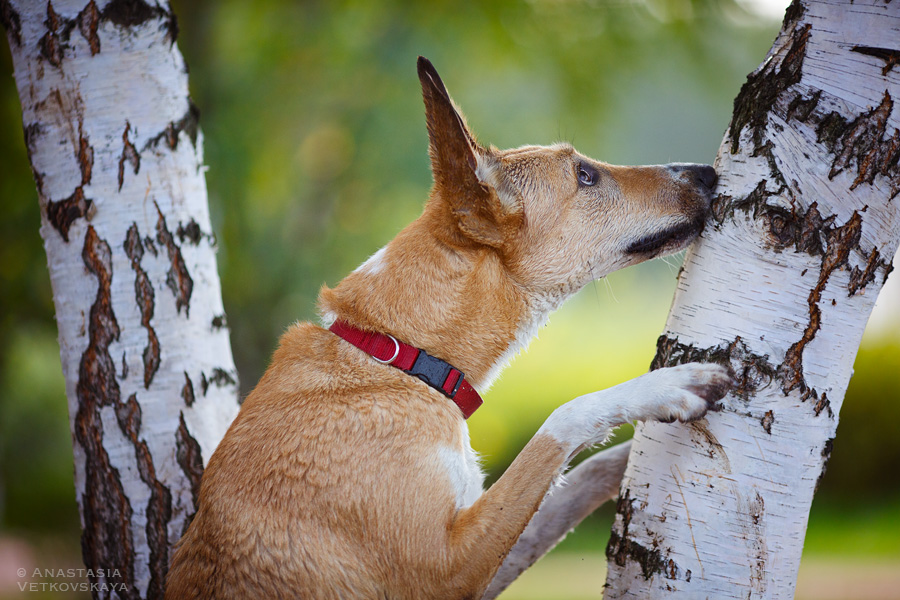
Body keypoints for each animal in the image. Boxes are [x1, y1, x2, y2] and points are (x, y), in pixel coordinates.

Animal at [167, 57, 732, 600]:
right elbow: (562, 418)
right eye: (585, 175)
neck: (397, 356)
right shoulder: (446, 569)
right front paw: (671, 386)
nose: (708, 173)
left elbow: (578, 476)